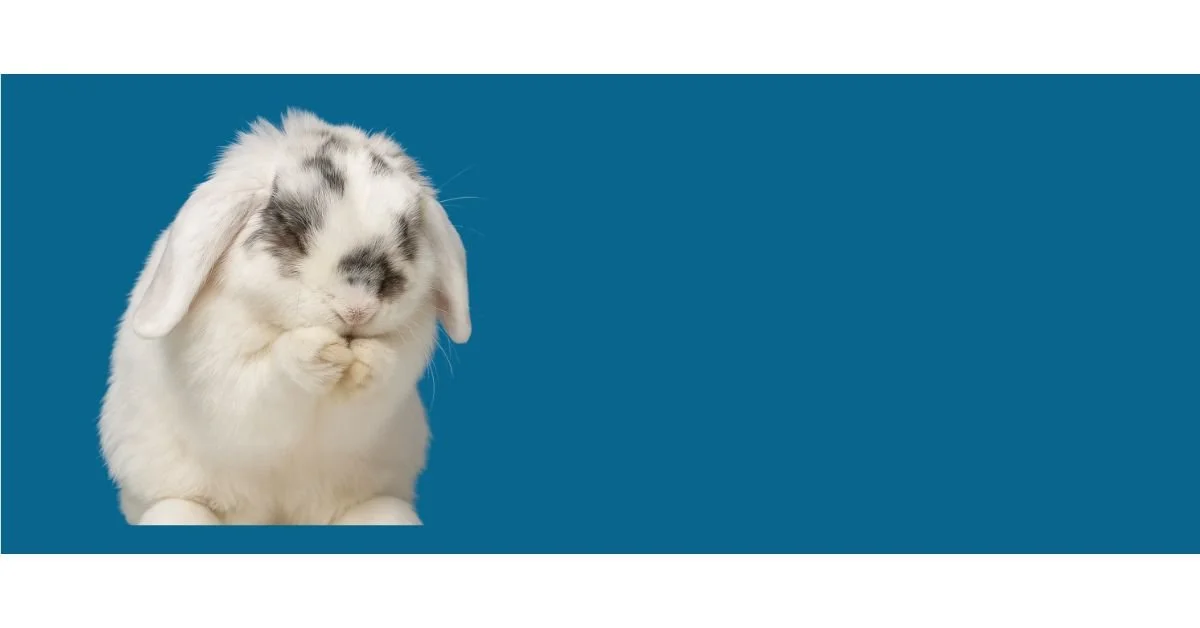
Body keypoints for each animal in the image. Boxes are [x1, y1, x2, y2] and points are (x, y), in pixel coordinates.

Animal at [98, 109, 470, 525]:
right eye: (292, 232)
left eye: (407, 233)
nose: (357, 309)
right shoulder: (228, 381)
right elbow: (271, 377)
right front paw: (321, 353)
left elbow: (382, 375)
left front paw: (368, 358)